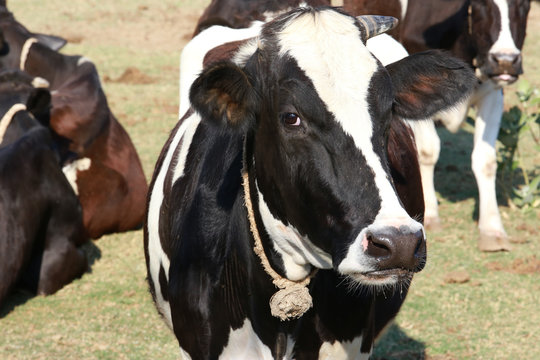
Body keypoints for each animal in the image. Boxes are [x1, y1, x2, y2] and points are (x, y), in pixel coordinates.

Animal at [344, 0, 532, 252]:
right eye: (480, 3)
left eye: (523, 3)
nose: (505, 60)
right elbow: (427, 151)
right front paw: (432, 214)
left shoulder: (494, 89)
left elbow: (486, 160)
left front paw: (492, 229)